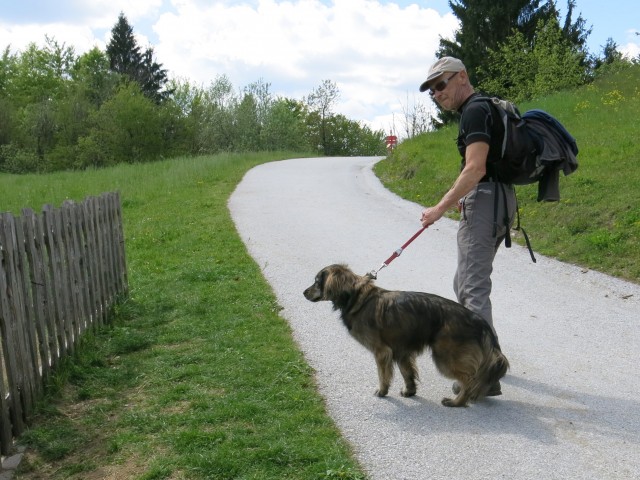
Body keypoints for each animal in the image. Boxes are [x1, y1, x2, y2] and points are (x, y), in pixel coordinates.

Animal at [302, 264, 508, 406]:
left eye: (317, 281)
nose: (303, 292)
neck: (356, 297)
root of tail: (478, 320)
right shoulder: (401, 351)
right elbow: (407, 372)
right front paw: (410, 391)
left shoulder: (382, 352)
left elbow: (383, 374)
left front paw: (382, 391)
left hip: (445, 358)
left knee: (470, 379)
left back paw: (457, 402)